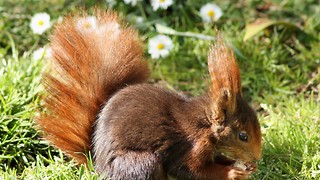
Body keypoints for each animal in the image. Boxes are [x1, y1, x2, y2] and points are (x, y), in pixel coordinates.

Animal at [37, 10, 262, 180]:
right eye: (243, 136)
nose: (257, 157)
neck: (204, 125)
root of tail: (98, 167)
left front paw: (240, 165)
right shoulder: (192, 146)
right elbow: (190, 169)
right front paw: (233, 172)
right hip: (142, 164)